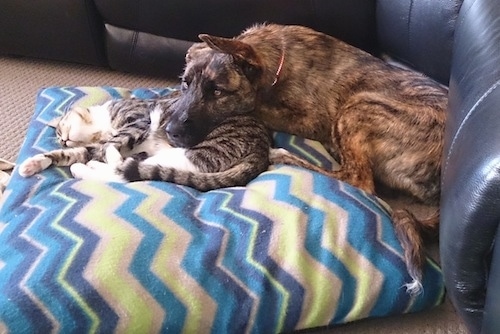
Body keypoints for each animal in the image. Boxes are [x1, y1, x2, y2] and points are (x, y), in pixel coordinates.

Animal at [166, 24, 448, 294]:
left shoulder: (311, 120)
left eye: (217, 92)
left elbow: (257, 108)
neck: (275, 64)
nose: (171, 131)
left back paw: (285, 155)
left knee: (358, 179)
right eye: (185, 83)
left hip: (358, 106)